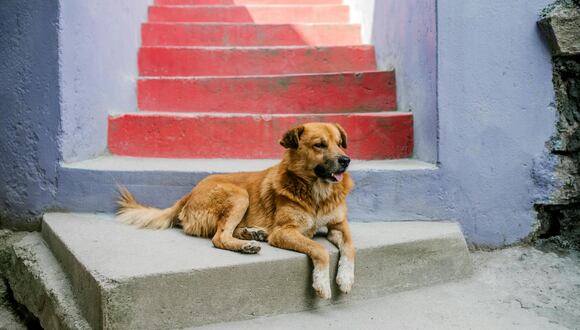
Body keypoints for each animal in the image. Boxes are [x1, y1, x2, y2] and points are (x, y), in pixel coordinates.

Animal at [116, 122, 356, 300]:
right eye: (319, 145)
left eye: (340, 144)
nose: (346, 160)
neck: (318, 192)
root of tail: (189, 193)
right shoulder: (284, 231)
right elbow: (319, 249)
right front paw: (322, 283)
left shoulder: (339, 225)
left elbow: (350, 248)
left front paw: (345, 278)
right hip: (239, 194)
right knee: (219, 237)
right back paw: (245, 245)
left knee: (225, 231)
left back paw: (253, 234)